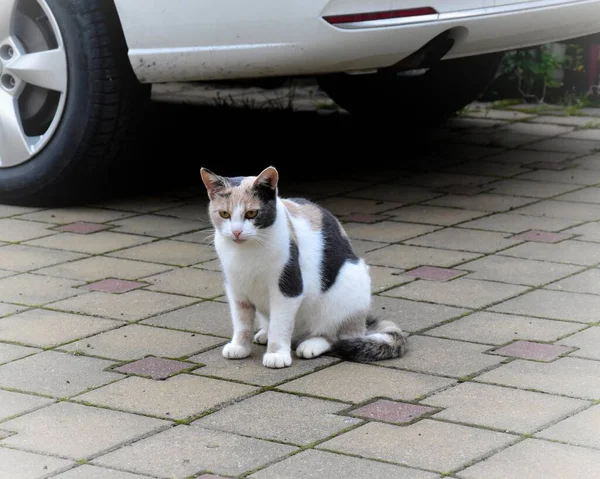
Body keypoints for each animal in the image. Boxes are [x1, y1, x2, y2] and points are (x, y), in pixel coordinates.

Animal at [202, 167, 408, 370]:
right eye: (224, 214)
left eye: (251, 213)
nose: (237, 232)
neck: (246, 251)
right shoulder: (236, 290)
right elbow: (241, 322)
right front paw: (239, 347)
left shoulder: (288, 288)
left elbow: (280, 325)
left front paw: (277, 354)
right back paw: (264, 334)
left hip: (350, 288)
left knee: (337, 336)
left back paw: (311, 344)